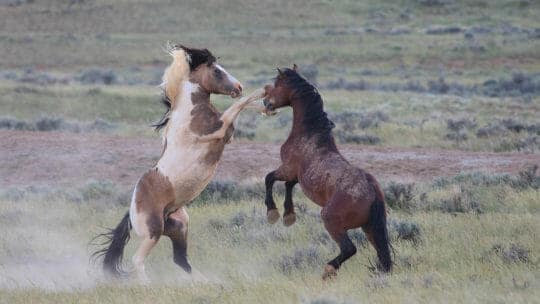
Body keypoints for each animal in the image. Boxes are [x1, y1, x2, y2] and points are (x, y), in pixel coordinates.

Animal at [93, 44, 266, 282]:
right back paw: (148, 285)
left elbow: (244, 105)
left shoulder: (227, 134)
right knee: (138, 261)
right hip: (153, 232)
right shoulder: (218, 128)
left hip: (179, 227)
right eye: (216, 71)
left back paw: (206, 282)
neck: (189, 111)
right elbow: (240, 104)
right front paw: (264, 92)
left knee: (181, 260)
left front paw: (268, 106)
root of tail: (131, 210)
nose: (238, 87)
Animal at [262, 65, 392, 280]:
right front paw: (289, 215)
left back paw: (328, 270)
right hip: (370, 228)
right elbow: (287, 186)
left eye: (278, 84)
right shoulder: (296, 176)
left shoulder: (287, 169)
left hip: (332, 221)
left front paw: (273, 213)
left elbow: (269, 179)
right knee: (382, 254)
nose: (266, 102)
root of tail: (372, 193)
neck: (310, 135)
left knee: (349, 249)